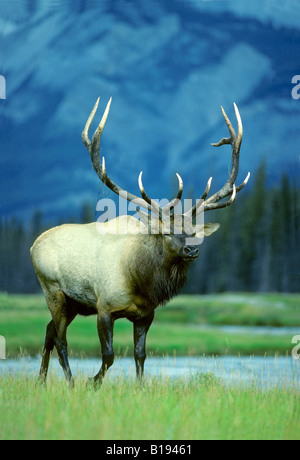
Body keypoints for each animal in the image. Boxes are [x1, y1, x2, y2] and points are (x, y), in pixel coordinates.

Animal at [31, 98, 250, 388]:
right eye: (166, 232)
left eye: (194, 231)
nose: (192, 249)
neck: (140, 281)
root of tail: (34, 244)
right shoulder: (104, 307)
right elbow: (109, 355)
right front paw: (93, 382)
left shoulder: (146, 314)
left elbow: (140, 355)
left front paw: (140, 387)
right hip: (53, 290)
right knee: (60, 338)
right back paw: (70, 382)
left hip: (74, 303)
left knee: (48, 331)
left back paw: (41, 380)